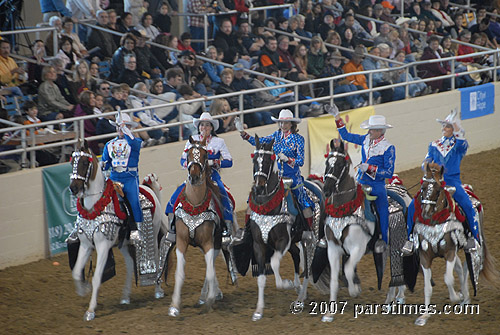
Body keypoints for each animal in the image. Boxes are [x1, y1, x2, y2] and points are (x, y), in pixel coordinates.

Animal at [68, 140, 168, 322]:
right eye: (72, 162)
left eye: (85, 163)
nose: (74, 188)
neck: (96, 206)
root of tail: (147, 187)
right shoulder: (86, 245)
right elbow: (77, 273)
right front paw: (83, 290)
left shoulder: (102, 246)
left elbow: (97, 277)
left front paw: (90, 311)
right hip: (124, 244)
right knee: (129, 265)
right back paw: (125, 297)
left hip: (153, 233)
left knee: (157, 261)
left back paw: (158, 291)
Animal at [165, 136, 233, 318]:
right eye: (188, 154)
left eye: (205, 155)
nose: (194, 177)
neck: (195, 205)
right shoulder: (181, 242)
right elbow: (180, 273)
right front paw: (174, 306)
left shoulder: (209, 242)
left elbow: (209, 271)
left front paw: (209, 300)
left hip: (216, 243)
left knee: (212, 267)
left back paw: (208, 295)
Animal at [231, 136, 324, 322]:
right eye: (254, 159)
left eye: (268, 161)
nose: (258, 187)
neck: (269, 207)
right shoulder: (259, 244)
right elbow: (261, 277)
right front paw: (258, 311)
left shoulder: (282, 241)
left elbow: (274, 263)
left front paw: (287, 284)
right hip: (296, 241)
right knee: (296, 255)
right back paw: (299, 290)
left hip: (310, 239)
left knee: (309, 267)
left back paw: (300, 297)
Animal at [314, 139, 412, 322]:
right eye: (327, 163)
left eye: (340, 165)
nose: (327, 190)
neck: (344, 209)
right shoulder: (333, 248)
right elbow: (334, 279)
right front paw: (329, 313)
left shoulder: (358, 248)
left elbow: (347, 269)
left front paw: (354, 290)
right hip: (386, 247)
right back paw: (390, 301)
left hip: (399, 242)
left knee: (398, 266)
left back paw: (399, 298)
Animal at [410, 163, 496, 328]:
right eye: (423, 188)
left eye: (438, 190)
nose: (425, 213)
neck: (435, 222)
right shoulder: (425, 256)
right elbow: (427, 287)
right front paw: (424, 316)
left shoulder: (449, 252)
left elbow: (448, 279)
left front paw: (456, 297)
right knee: (460, 268)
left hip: (471, 246)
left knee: (467, 267)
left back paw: (465, 297)